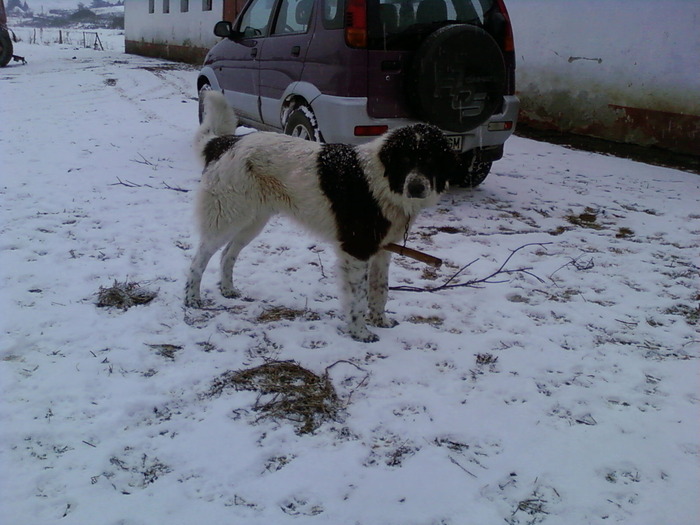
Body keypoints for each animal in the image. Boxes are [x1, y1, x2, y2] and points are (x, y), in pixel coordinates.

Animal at [186, 92, 460, 342]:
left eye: (432, 160)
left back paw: (227, 289)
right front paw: (360, 332)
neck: (383, 181)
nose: (416, 188)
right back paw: (192, 299)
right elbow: (358, 297)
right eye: (405, 159)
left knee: (227, 254)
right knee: (198, 260)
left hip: (252, 222)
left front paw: (380, 321)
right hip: (227, 218)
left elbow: (379, 290)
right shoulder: (356, 249)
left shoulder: (382, 250)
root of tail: (225, 142)